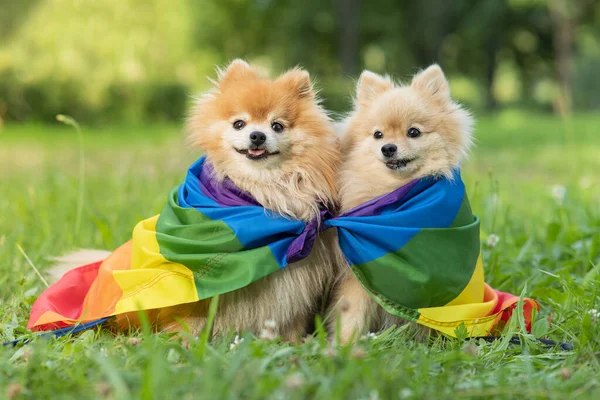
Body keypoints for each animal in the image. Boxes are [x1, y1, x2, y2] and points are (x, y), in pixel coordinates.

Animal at [50, 59, 342, 340]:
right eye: (239, 123)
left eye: (277, 126)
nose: (257, 135)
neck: (260, 193)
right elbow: (188, 321)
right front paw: (183, 343)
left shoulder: (297, 285)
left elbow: (291, 321)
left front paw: (291, 343)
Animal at [328, 64, 474, 342]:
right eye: (378, 134)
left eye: (413, 132)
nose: (388, 148)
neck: (395, 193)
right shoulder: (359, 273)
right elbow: (352, 313)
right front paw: (345, 344)